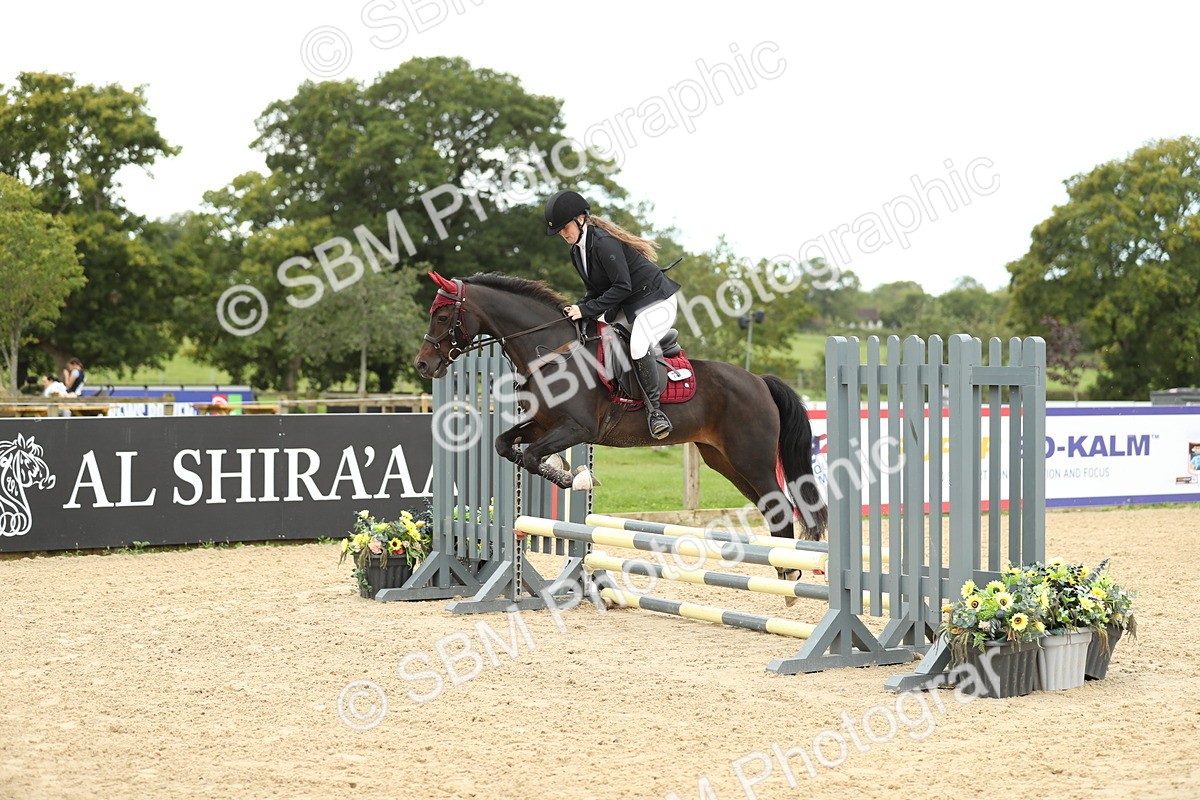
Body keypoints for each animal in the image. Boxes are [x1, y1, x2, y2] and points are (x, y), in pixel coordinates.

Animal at [413, 271, 827, 559]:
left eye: (443, 316)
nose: (423, 364)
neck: (551, 352)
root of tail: (759, 381)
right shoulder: (544, 425)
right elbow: (505, 446)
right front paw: (567, 471)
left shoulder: (577, 428)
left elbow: (531, 457)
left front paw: (575, 478)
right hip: (724, 460)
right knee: (771, 510)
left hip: (751, 458)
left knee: (781, 507)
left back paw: (789, 576)